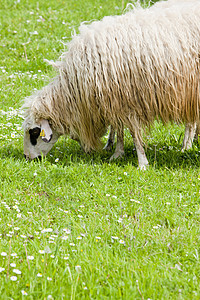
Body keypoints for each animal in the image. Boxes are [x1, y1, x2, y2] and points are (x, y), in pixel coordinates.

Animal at [21, 0, 200, 169]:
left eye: (34, 132)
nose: (28, 158)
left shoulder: (126, 100)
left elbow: (133, 133)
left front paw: (142, 163)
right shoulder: (114, 100)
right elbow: (119, 128)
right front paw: (117, 153)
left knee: (190, 122)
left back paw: (186, 146)